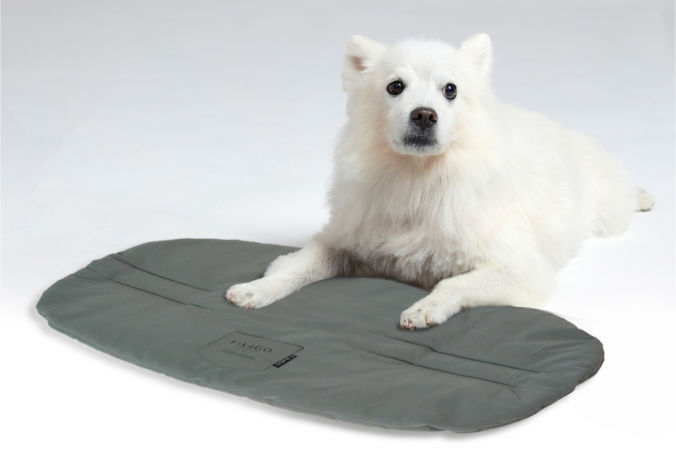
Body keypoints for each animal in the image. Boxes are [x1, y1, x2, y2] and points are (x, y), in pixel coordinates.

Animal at [226, 34, 654, 329]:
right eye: (395, 86)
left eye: (450, 90)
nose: (424, 115)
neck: (418, 180)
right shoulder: (341, 243)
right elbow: (294, 268)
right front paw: (255, 290)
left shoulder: (520, 268)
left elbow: (452, 285)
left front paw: (424, 308)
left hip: (606, 209)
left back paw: (644, 196)